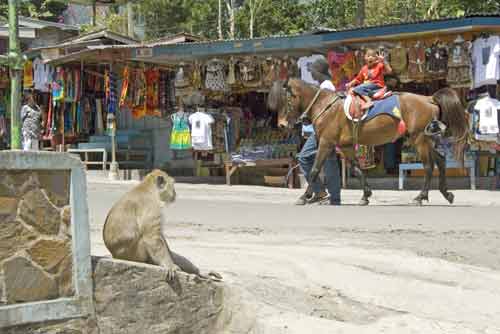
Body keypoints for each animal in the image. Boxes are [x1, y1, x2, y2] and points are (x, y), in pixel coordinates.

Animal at [270, 79, 468, 205]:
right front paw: (365, 195)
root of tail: (429, 98)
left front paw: (304, 197)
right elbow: (358, 170)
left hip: (419, 139)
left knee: (428, 167)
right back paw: (446, 193)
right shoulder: (346, 146)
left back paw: (421, 197)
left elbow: (314, 170)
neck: (325, 106)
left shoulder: (326, 143)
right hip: (426, 139)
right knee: (441, 161)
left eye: (286, 100)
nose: (281, 125)